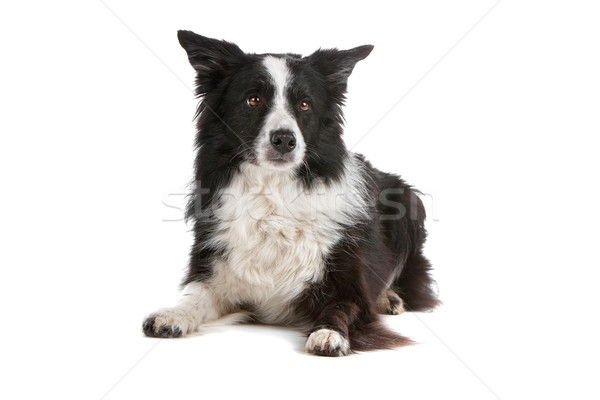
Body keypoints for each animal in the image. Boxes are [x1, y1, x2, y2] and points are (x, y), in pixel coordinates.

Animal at [143, 32, 438, 356]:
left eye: (305, 104)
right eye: (253, 99)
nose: (284, 139)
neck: (273, 194)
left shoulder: (350, 288)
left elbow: (341, 308)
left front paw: (329, 333)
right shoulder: (215, 273)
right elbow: (193, 296)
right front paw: (172, 314)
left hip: (408, 203)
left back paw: (389, 297)